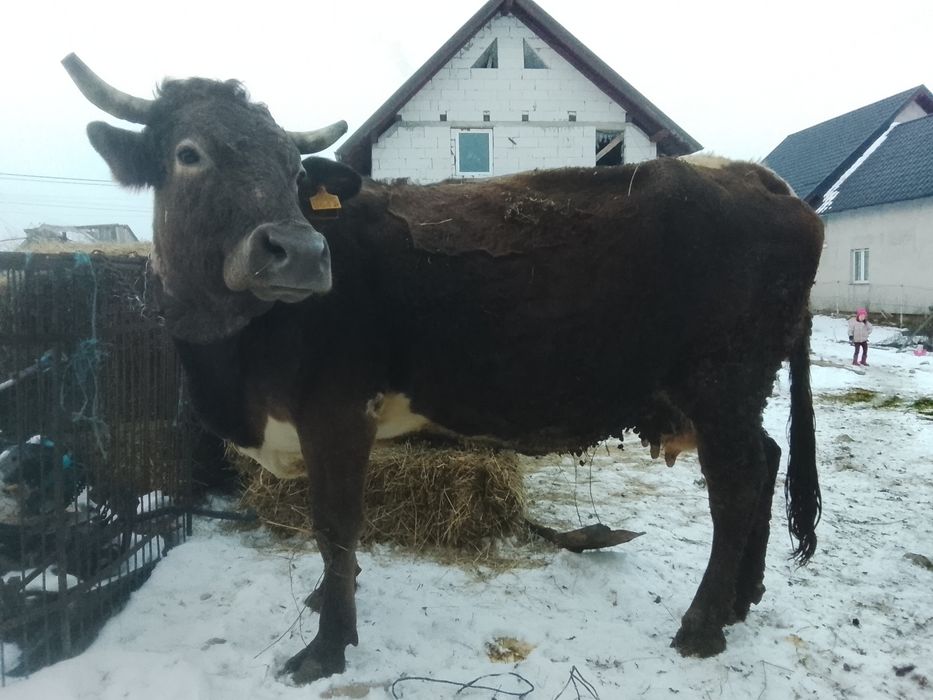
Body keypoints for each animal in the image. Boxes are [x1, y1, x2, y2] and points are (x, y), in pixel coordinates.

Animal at [62, 53, 824, 684]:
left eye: (292, 169)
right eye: (188, 153)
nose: (302, 253)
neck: (231, 353)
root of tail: (755, 176)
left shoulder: (337, 413)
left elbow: (335, 524)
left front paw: (326, 645)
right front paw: (326, 598)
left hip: (721, 380)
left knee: (736, 485)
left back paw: (703, 625)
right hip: (731, 391)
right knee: (766, 462)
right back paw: (741, 601)